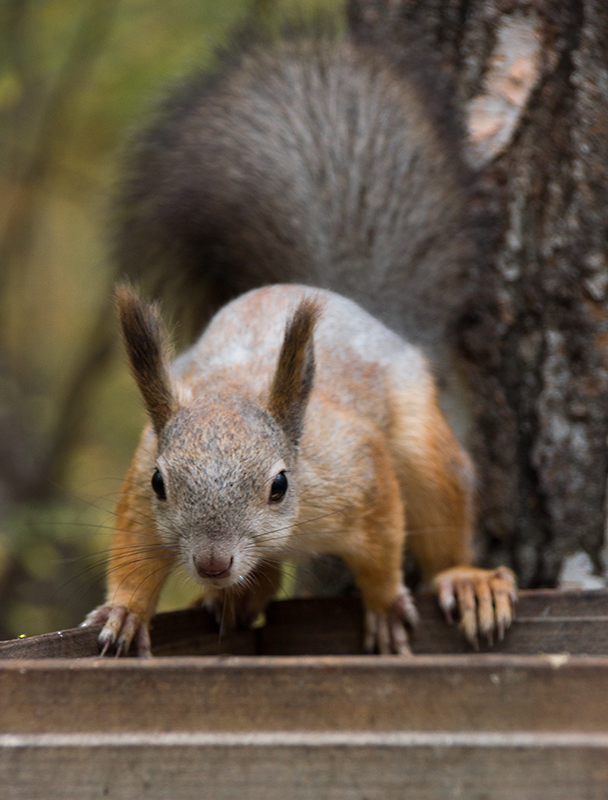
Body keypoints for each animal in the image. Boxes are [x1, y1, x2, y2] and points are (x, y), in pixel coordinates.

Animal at [84, 32, 517, 656]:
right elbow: (132, 549)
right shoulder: (143, 485)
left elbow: (383, 544)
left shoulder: (358, 469)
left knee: (442, 518)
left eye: (280, 484)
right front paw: (124, 612)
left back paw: (466, 579)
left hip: (422, 445)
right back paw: (235, 598)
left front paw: (385, 606)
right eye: (162, 483)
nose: (212, 562)